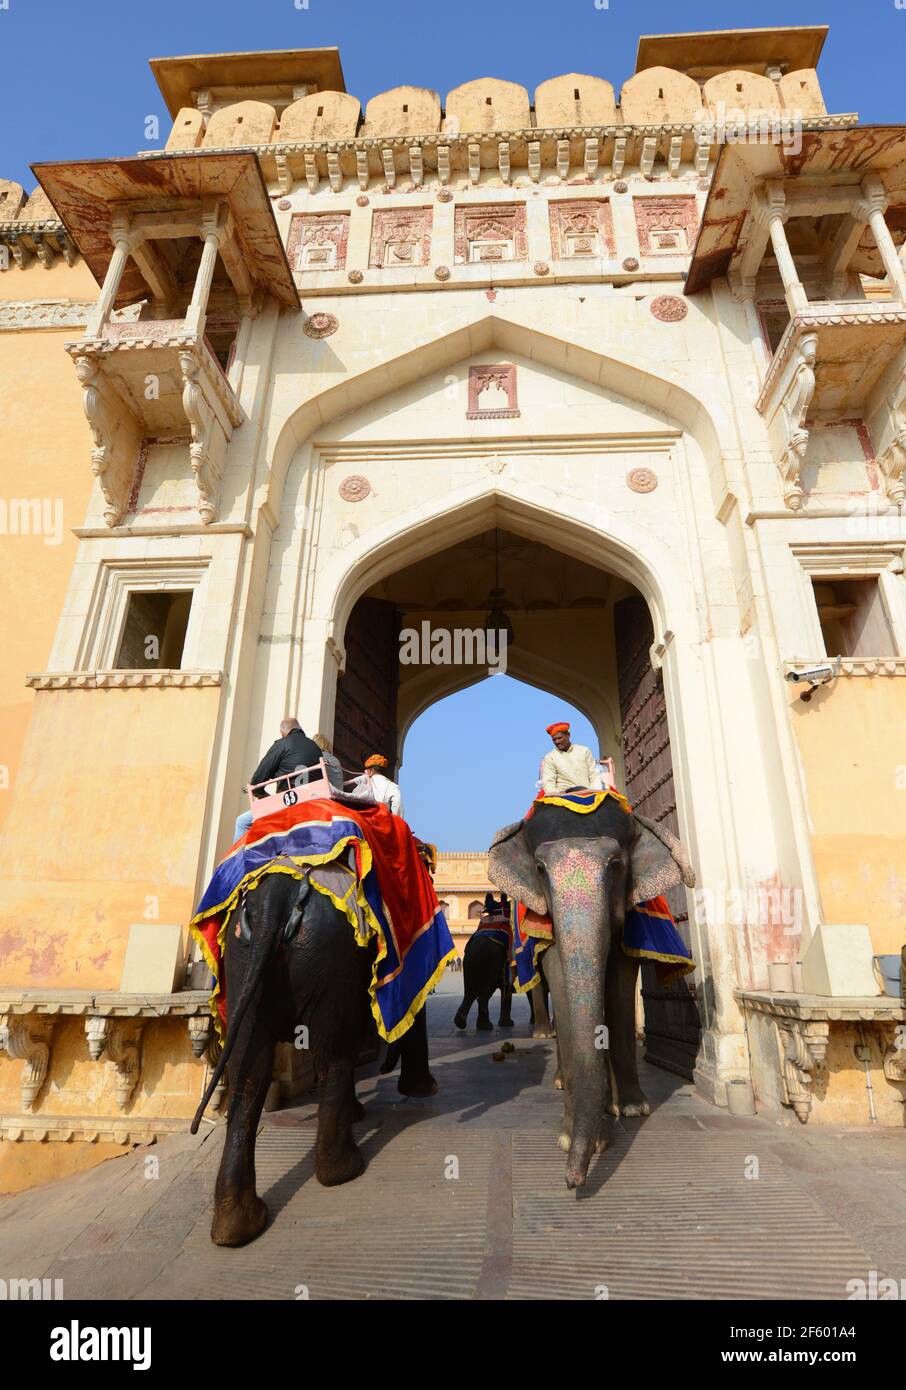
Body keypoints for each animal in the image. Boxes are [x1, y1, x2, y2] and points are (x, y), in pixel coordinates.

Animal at [188, 845, 436, 1251]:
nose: (388, 1065)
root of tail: (276, 894)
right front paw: (414, 1092)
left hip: (245, 956)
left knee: (249, 1066)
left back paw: (236, 1227)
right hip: (329, 952)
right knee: (330, 1053)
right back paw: (344, 1169)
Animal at [489, 800, 694, 1189]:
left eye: (615, 865)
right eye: (540, 869)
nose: (572, 1181)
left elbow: (620, 983)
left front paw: (631, 1109)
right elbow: (559, 975)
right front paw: (576, 1138)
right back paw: (556, 1070)